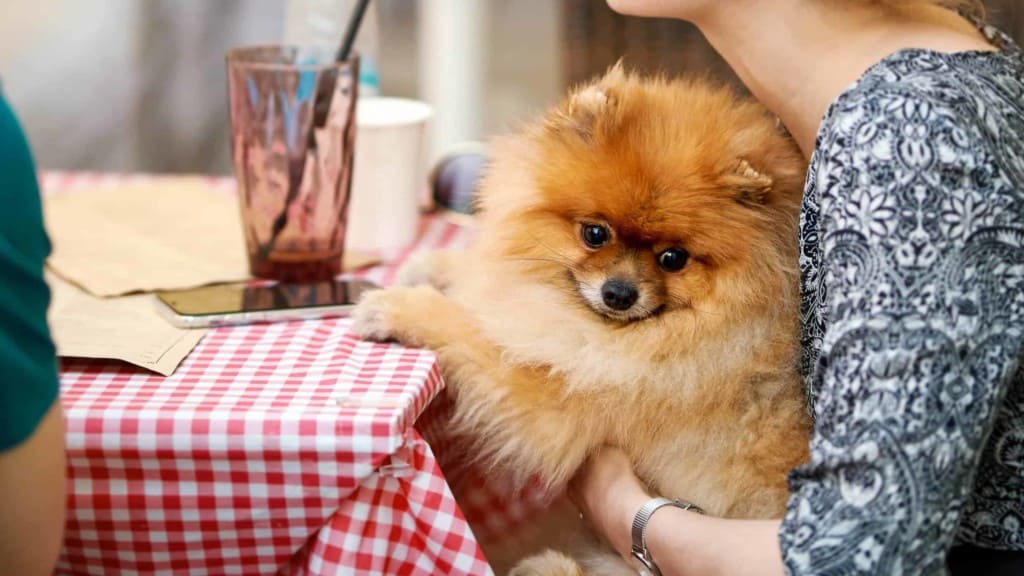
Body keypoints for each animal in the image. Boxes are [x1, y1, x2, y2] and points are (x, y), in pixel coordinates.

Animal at [356, 65, 811, 569]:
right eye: (595, 233)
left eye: (673, 258)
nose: (619, 293)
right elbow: (489, 281)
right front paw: (433, 267)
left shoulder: (552, 398)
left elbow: (469, 333)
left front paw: (401, 307)